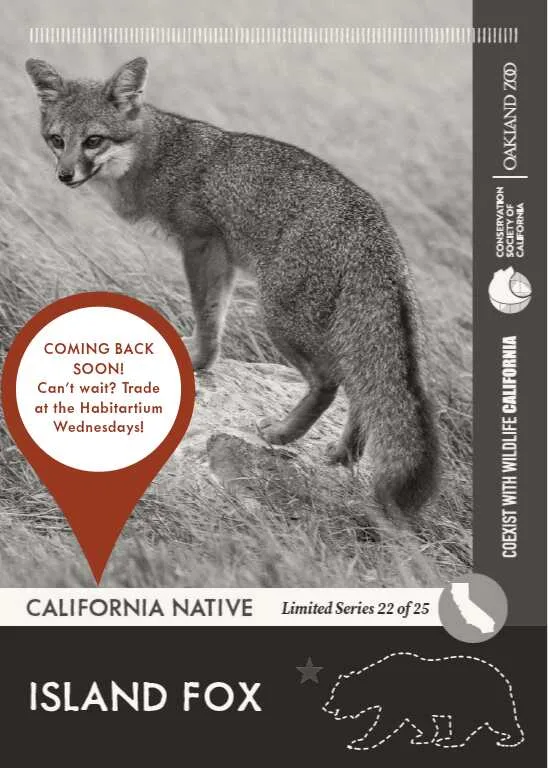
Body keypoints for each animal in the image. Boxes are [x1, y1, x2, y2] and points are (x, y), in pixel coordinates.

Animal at [25, 56, 440, 515]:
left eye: (94, 141)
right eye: (57, 140)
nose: (64, 175)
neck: (159, 153)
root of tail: (375, 228)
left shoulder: (201, 244)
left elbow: (207, 316)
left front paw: (197, 361)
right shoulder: (221, 258)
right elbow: (215, 315)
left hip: (279, 318)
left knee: (330, 382)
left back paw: (282, 434)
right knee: (361, 389)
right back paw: (343, 453)